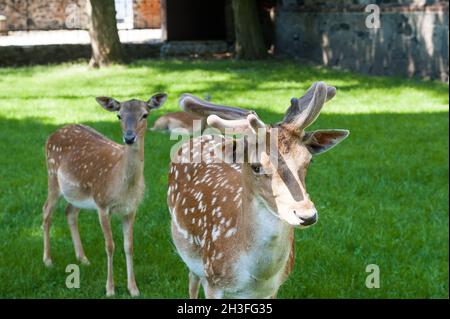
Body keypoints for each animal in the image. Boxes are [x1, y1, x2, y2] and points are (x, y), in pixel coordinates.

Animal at [42, 92, 167, 298]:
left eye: (145, 114)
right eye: (119, 115)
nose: (129, 137)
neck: (123, 187)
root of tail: (53, 134)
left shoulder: (131, 209)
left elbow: (129, 246)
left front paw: (134, 288)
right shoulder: (102, 204)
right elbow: (110, 246)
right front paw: (110, 289)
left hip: (77, 192)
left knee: (70, 212)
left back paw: (83, 258)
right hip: (52, 177)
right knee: (46, 211)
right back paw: (48, 260)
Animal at [169, 83, 348, 300]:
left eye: (309, 160)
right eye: (256, 166)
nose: (306, 215)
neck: (257, 277)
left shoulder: (273, 288)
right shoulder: (212, 280)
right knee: (192, 280)